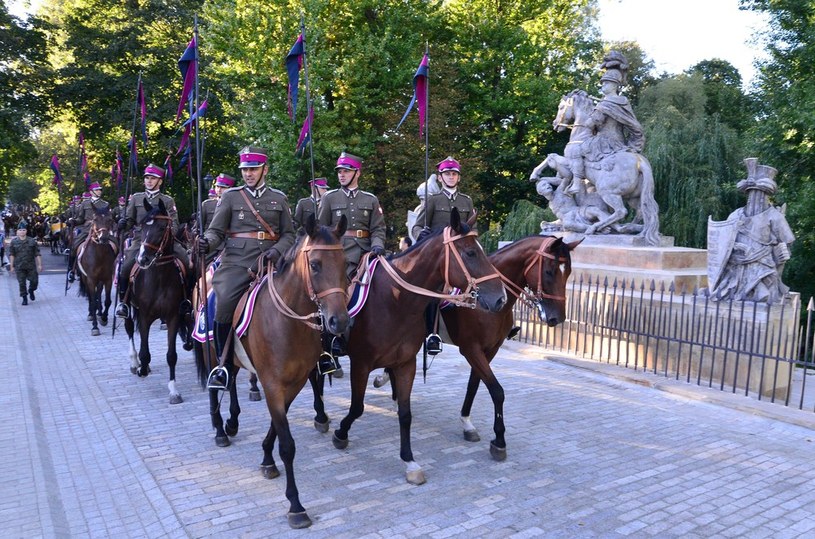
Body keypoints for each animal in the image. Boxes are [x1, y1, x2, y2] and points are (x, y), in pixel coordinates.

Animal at [124, 198, 193, 404]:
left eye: (162, 227)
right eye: (142, 226)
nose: (142, 259)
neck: (159, 277)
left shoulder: (173, 317)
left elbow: (171, 355)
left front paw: (174, 391)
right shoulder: (145, 316)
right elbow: (145, 352)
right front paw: (142, 367)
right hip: (128, 306)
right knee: (129, 328)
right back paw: (135, 362)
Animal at [198, 214, 354, 528]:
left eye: (345, 263)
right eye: (315, 264)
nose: (339, 321)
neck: (288, 322)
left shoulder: (293, 383)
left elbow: (275, 427)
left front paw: (267, 459)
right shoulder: (272, 384)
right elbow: (288, 445)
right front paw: (295, 505)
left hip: (235, 359)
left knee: (231, 379)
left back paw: (232, 423)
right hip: (210, 351)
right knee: (215, 387)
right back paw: (220, 429)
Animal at [328, 207, 506, 486]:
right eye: (470, 253)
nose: (500, 298)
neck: (394, 300)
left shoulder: (405, 363)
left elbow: (405, 414)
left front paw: (409, 461)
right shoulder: (361, 363)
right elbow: (357, 407)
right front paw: (341, 433)